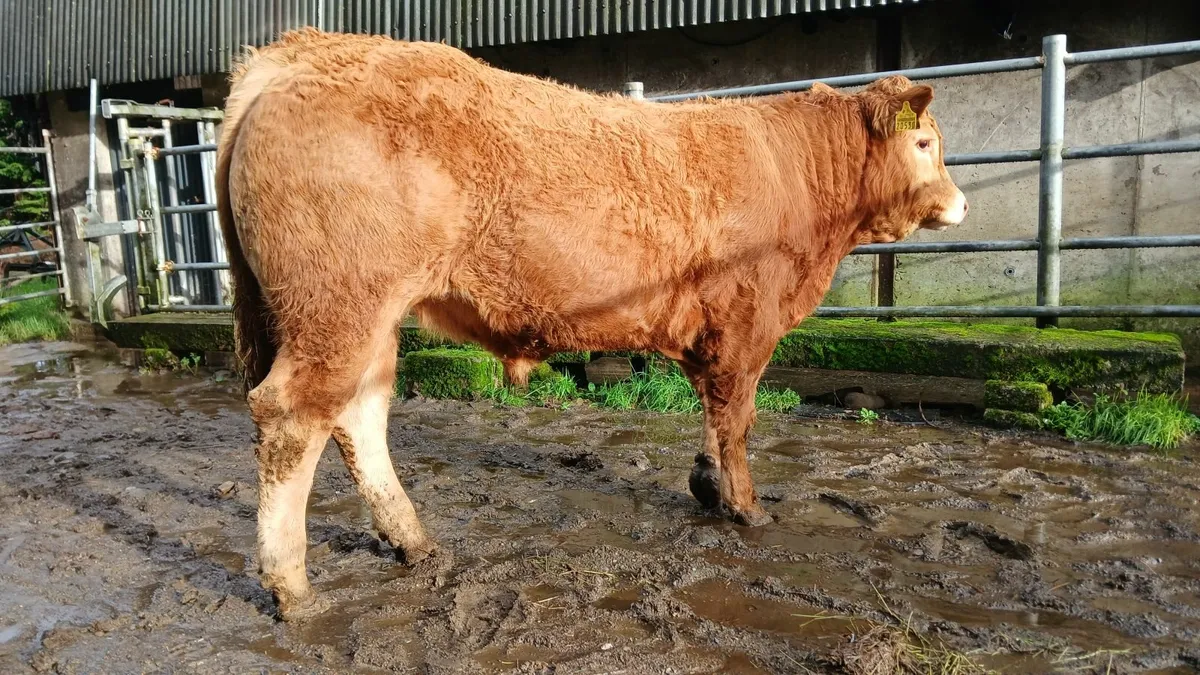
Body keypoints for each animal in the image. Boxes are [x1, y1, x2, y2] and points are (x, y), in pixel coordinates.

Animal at [216, 28, 967, 620]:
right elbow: (738, 417)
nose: (960, 203)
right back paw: (292, 586)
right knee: (293, 416)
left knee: (358, 414)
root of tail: (300, 52)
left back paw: (414, 542)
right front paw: (745, 505)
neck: (799, 175)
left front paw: (705, 481)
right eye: (925, 141)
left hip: (366, 318)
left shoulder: (710, 331)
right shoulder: (747, 321)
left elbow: (712, 409)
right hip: (339, 305)